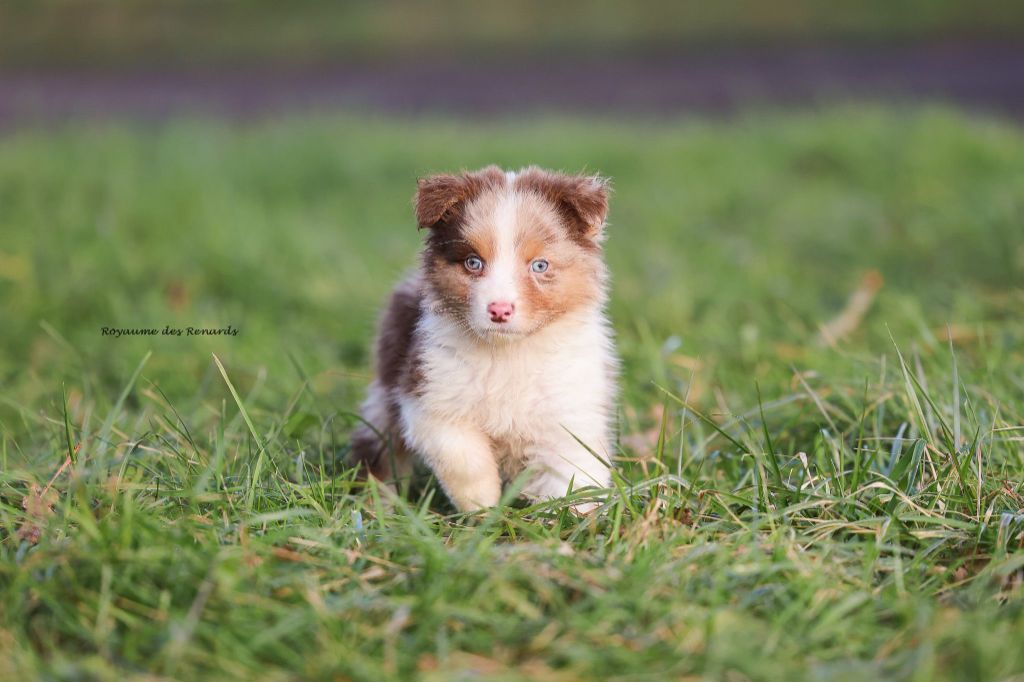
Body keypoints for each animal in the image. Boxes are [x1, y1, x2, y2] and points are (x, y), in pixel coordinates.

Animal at [351, 166, 618, 512]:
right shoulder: (431, 395)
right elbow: (463, 457)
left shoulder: (570, 413)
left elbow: (572, 479)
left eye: (540, 265)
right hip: (385, 395)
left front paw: (570, 518)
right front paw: (485, 506)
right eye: (473, 262)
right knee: (380, 448)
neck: (509, 354)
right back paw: (377, 505)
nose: (499, 309)